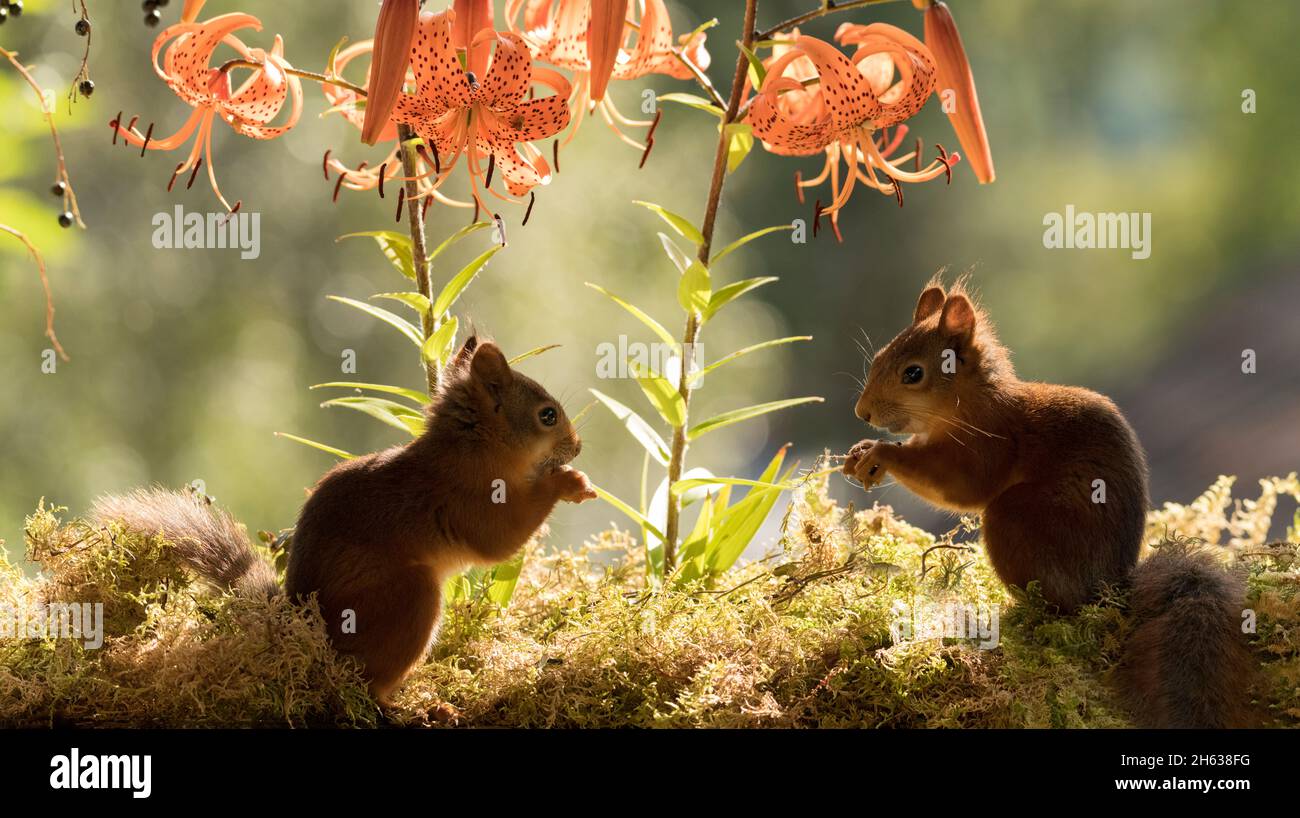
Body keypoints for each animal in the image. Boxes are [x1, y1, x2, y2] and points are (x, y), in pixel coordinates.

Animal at [93, 335, 596, 703]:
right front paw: (567, 483)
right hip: (408, 599)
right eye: (547, 415)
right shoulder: (468, 501)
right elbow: (500, 540)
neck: (472, 449)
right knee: (367, 684)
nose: (577, 447)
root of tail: (304, 636)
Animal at [842, 276, 1252, 727]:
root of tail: (1106, 591)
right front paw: (861, 453)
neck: (969, 403)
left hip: (1017, 519)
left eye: (913, 373)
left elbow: (962, 488)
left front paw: (882, 453)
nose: (862, 413)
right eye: (879, 357)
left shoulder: (989, 446)